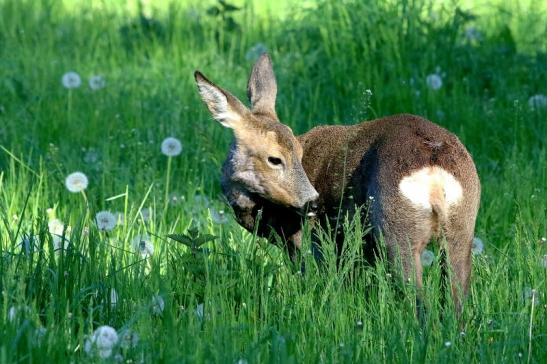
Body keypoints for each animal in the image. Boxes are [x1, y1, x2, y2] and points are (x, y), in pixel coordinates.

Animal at [195, 52, 482, 314]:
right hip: (460, 229)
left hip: (396, 230)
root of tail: (434, 169)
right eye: (275, 159)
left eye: (297, 154)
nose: (313, 203)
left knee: (420, 305)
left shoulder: (311, 241)